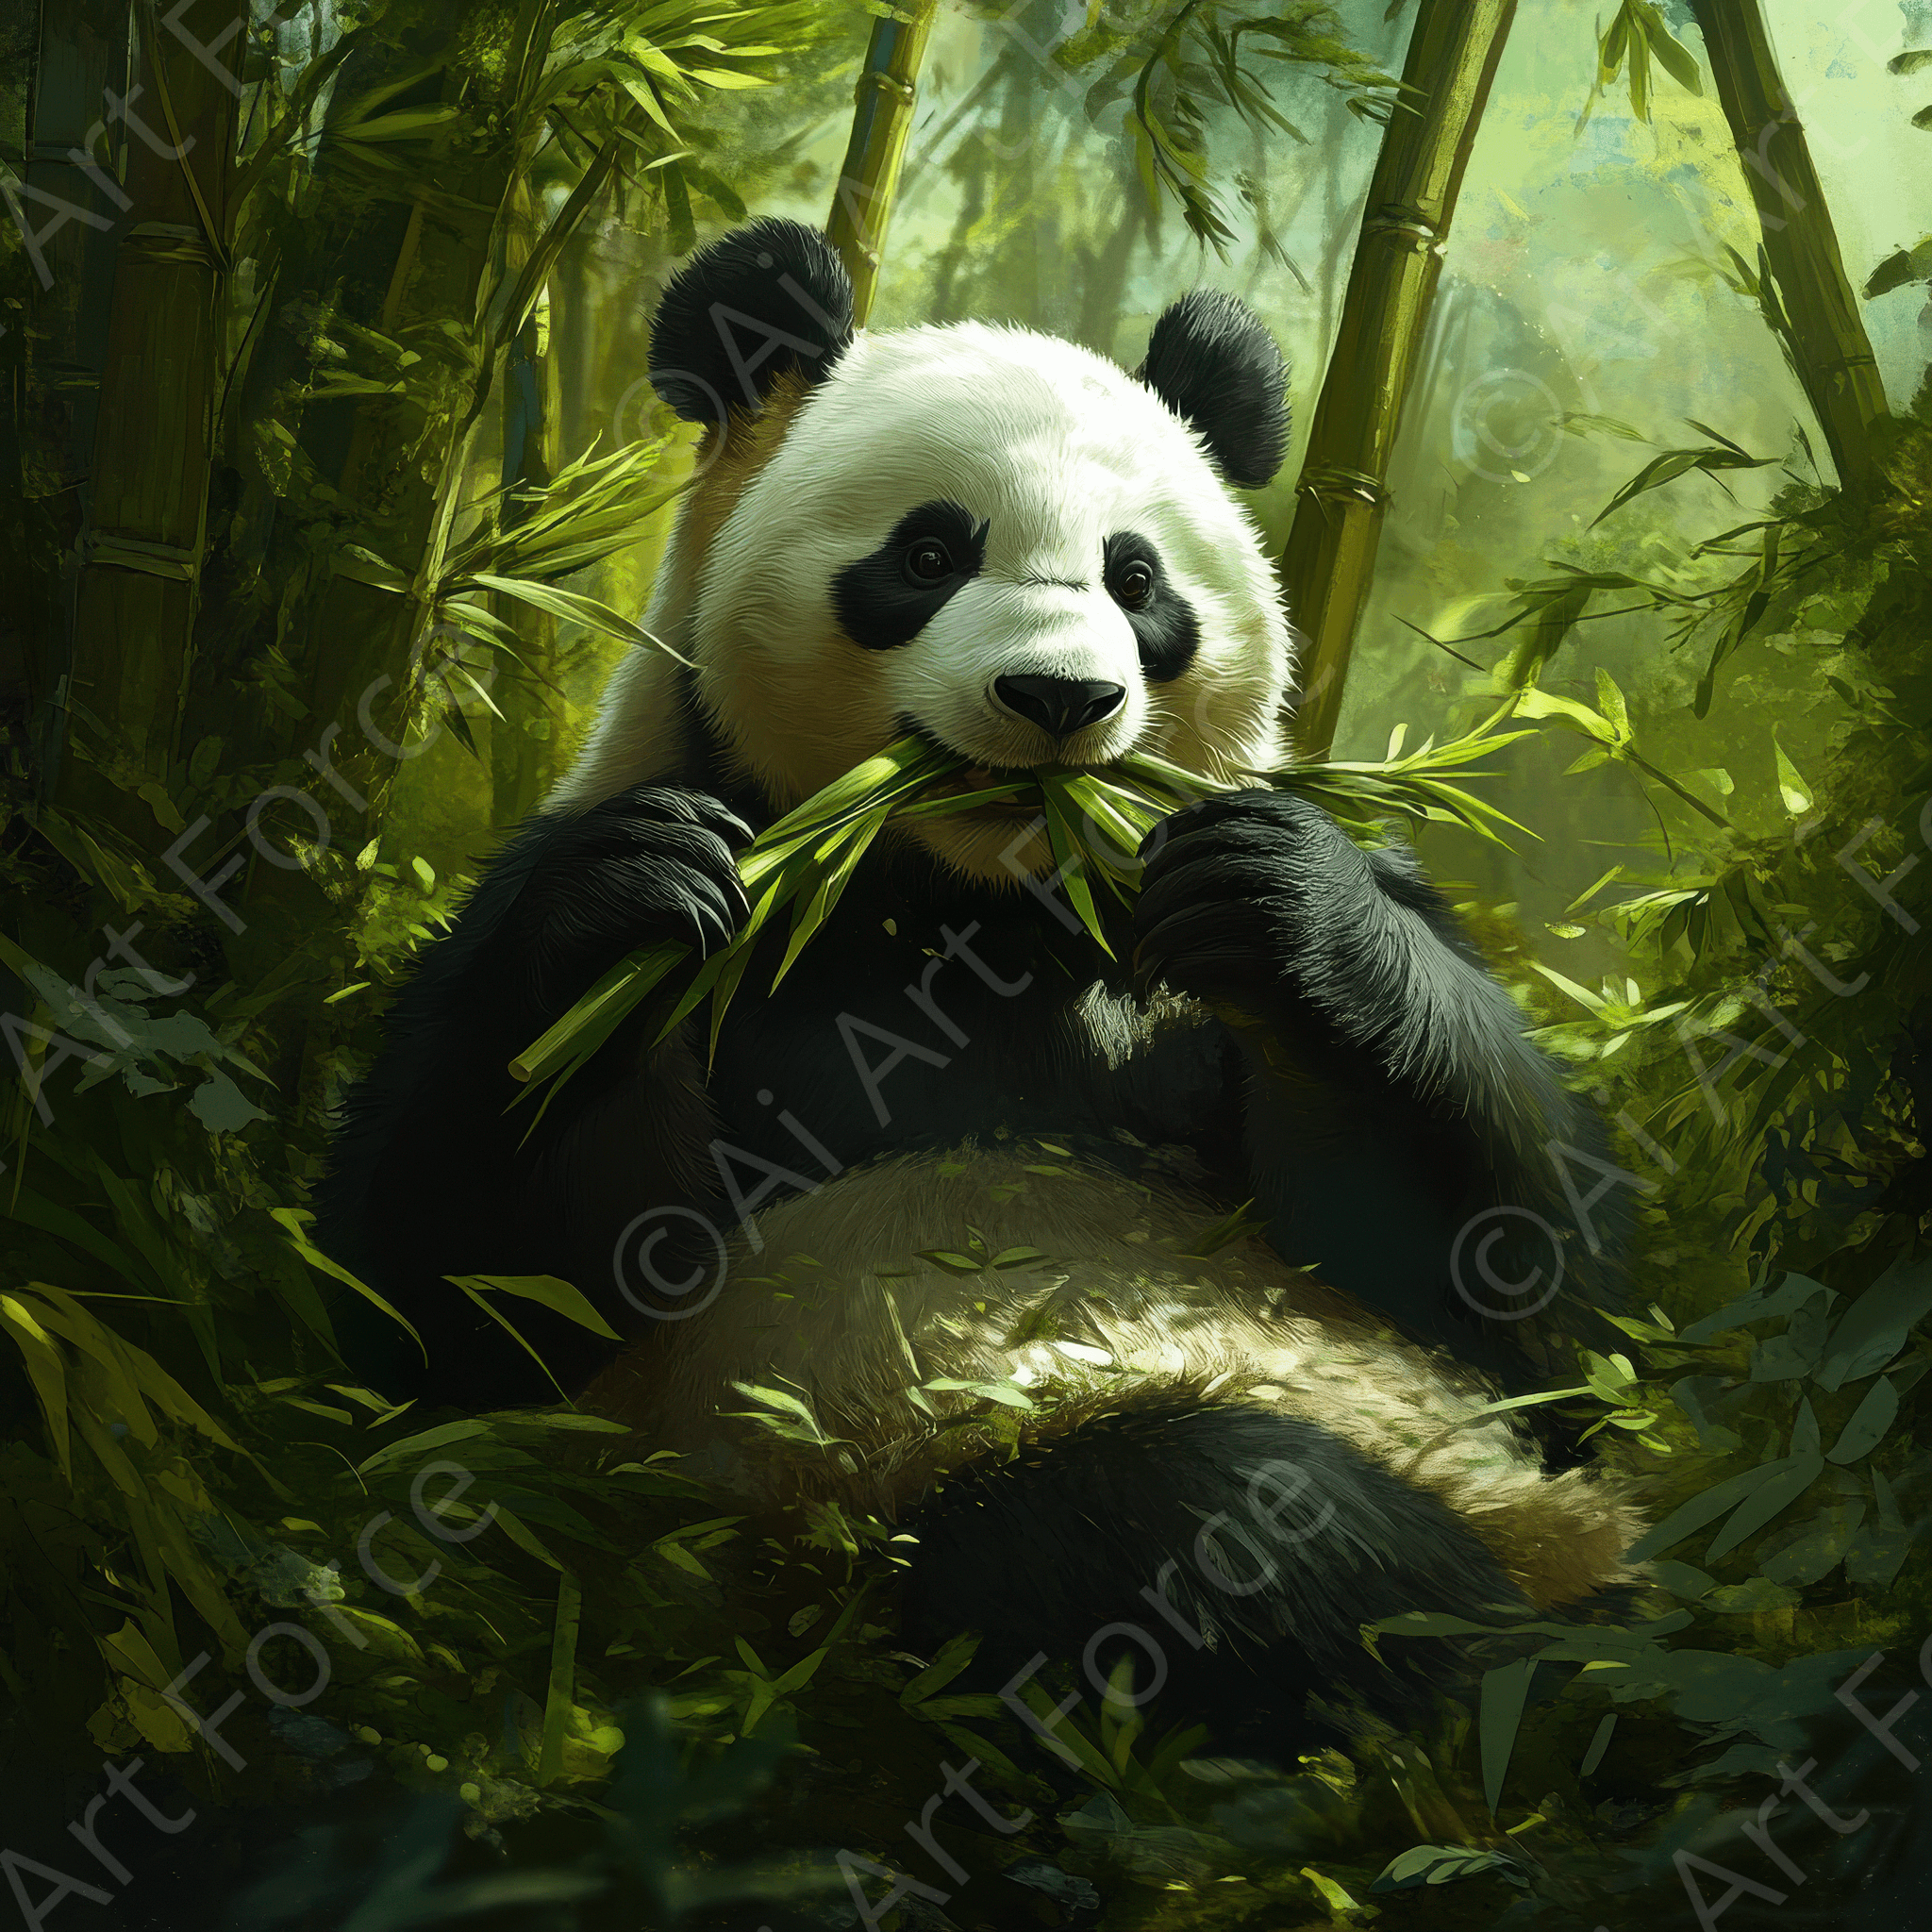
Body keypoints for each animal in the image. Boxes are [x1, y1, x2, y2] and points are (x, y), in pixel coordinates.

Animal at [320, 217, 1640, 1748]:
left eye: (1137, 581)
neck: (976, 902)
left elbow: (1527, 1292)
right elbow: (454, 1307)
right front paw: (631, 900)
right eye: (931, 551)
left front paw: (1280, 900)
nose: (1060, 700)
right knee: (1186, 1518)